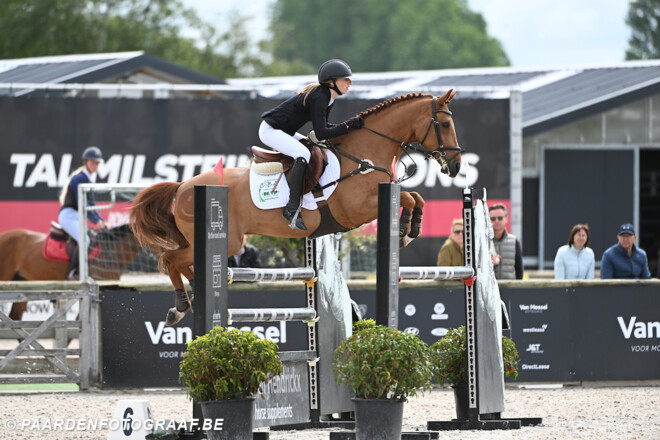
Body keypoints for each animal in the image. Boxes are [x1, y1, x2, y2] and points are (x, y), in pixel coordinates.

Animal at [130, 90, 462, 326]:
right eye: (445, 124)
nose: (456, 166)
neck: (363, 155)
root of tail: (183, 186)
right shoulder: (357, 208)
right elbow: (408, 198)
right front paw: (406, 231)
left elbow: (416, 197)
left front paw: (411, 229)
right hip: (228, 241)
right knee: (170, 260)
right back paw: (182, 306)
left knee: (178, 262)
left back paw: (189, 300)